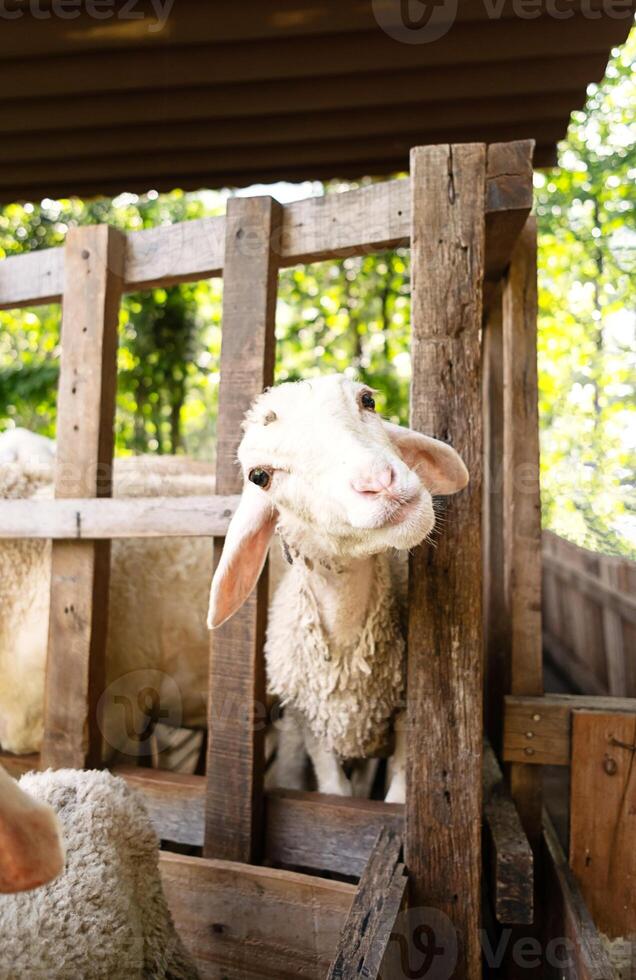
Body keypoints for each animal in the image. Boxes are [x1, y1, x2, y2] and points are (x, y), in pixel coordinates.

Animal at [209, 372, 468, 800]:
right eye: (259, 476)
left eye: (367, 401)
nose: (379, 481)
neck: (348, 661)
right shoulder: (312, 724)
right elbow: (336, 792)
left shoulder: (401, 715)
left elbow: (395, 793)